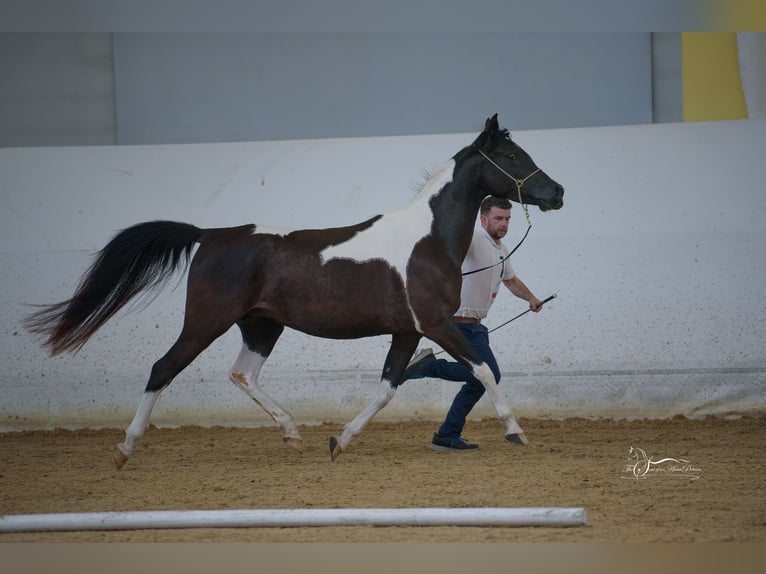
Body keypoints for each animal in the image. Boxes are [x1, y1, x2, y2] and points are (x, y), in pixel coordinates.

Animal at [27, 115, 564, 470]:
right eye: (512, 156)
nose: (557, 193)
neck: (426, 240)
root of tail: (210, 235)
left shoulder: (407, 332)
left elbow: (389, 386)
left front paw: (339, 441)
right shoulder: (436, 323)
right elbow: (480, 369)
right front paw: (516, 430)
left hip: (262, 326)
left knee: (242, 374)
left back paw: (292, 433)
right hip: (205, 322)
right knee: (163, 370)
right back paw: (125, 448)